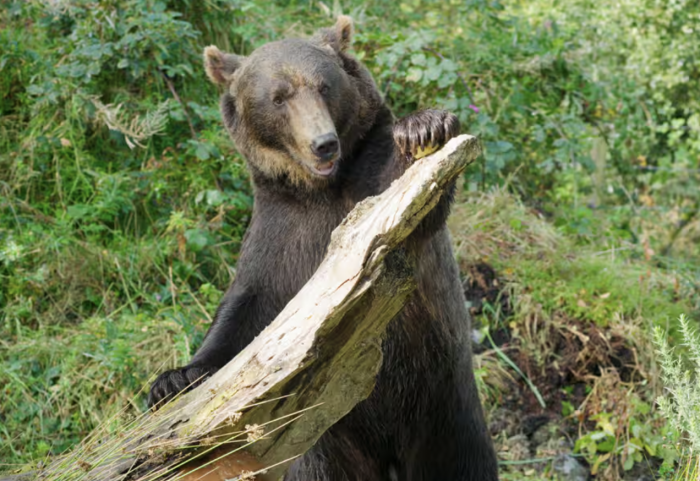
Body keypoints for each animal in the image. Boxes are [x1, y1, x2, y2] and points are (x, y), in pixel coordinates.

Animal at [148, 16, 498, 481]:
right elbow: (245, 311)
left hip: (444, 409)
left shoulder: (367, 193)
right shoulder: (282, 232)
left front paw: (425, 126)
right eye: (278, 97)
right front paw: (172, 379)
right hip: (326, 440)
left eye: (324, 86)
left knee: (461, 461)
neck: (321, 189)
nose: (323, 143)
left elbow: (411, 202)